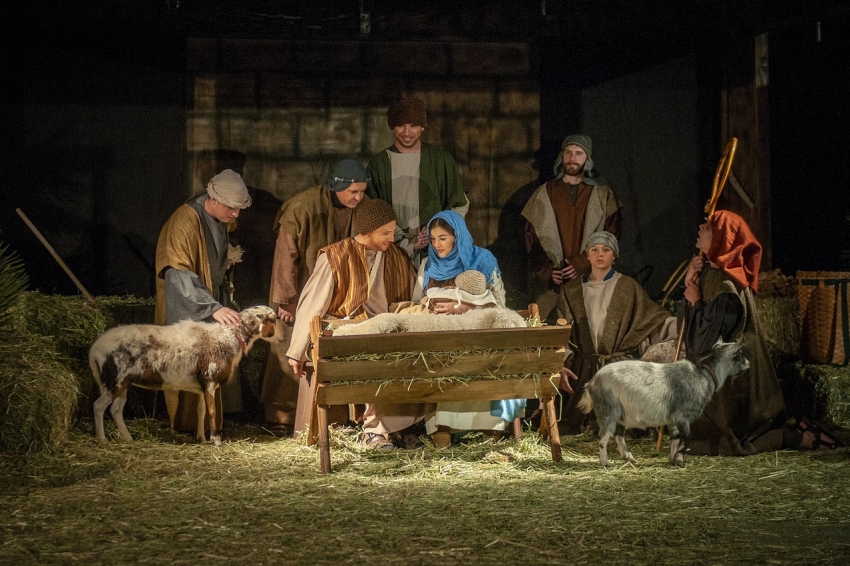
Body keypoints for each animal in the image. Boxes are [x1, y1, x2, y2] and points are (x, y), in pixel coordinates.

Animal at [89, 308, 276, 446]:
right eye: (272, 320)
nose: (275, 333)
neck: (229, 337)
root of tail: (95, 350)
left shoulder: (201, 386)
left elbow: (201, 411)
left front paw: (201, 438)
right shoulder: (210, 380)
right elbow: (212, 412)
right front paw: (216, 440)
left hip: (123, 383)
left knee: (115, 409)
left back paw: (128, 438)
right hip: (116, 380)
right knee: (98, 406)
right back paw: (102, 439)